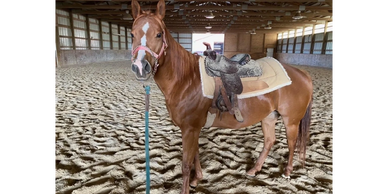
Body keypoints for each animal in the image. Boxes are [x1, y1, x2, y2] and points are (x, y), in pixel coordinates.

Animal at [130, 0, 312, 193]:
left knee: (292, 143)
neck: (186, 79)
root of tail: (302, 74)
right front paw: (197, 179)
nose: (140, 67)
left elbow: (186, 164)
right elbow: (195, 155)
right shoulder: (193, 129)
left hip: (291, 121)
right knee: (270, 141)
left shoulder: (189, 129)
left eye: (158, 34)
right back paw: (254, 170)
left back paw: (287, 171)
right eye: (132, 34)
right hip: (269, 117)